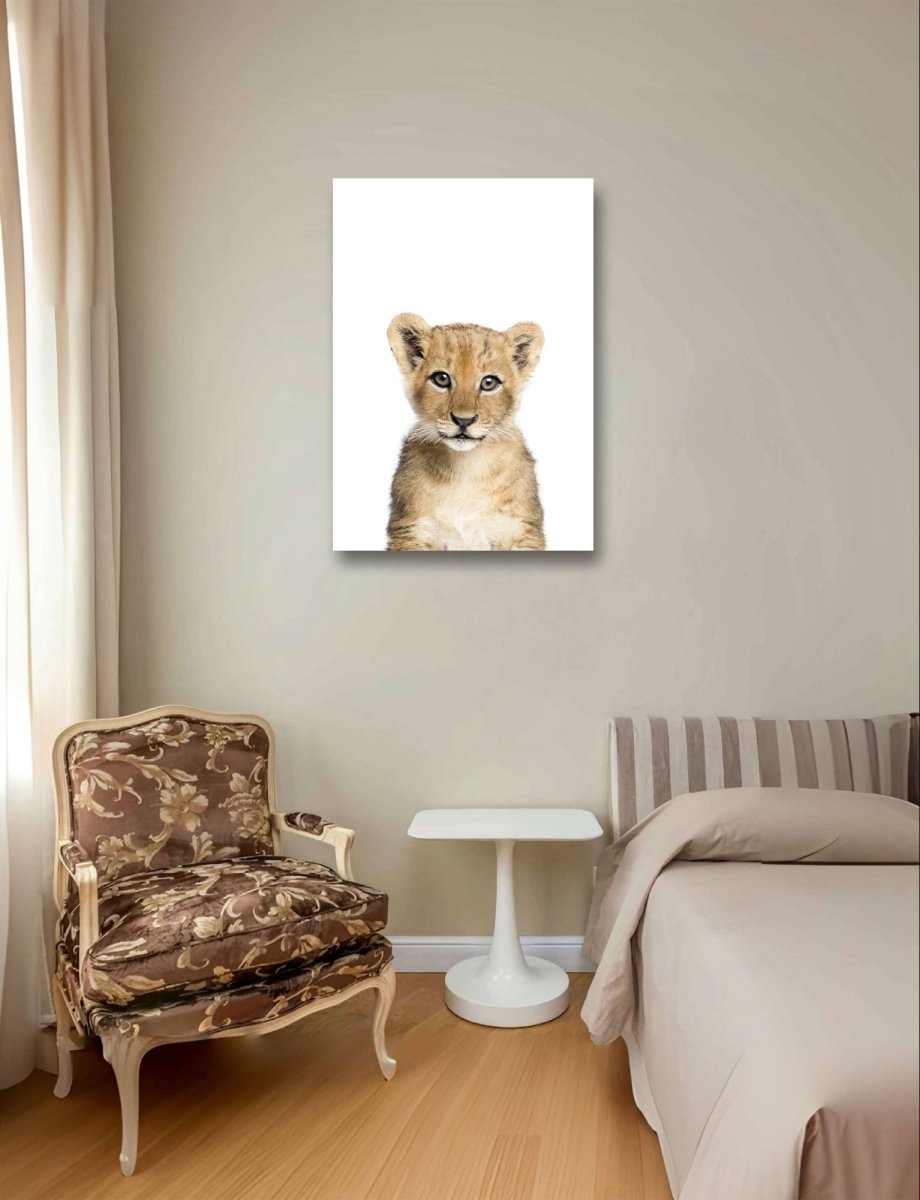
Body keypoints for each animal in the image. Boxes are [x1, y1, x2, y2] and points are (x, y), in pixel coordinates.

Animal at [385, 314, 546, 551]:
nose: (463, 420)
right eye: (441, 379)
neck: (466, 468)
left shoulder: (520, 530)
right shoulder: (412, 530)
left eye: (489, 382)